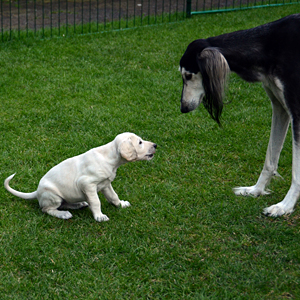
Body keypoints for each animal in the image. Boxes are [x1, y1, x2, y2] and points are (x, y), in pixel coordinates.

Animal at [4, 132, 157, 221]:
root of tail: (37, 192)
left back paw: (79, 204)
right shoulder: (87, 184)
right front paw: (99, 216)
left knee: (64, 203)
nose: (155, 145)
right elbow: (96, 201)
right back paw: (63, 214)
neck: (109, 157)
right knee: (46, 209)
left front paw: (121, 204)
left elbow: (113, 196)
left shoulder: (106, 184)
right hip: (53, 196)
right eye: (140, 142)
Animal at [179, 14, 300, 217]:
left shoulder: (298, 113)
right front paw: (256, 190)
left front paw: (285, 206)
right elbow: (270, 159)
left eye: (188, 76)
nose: (183, 108)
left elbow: (296, 171)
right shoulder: (280, 108)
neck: (269, 44)